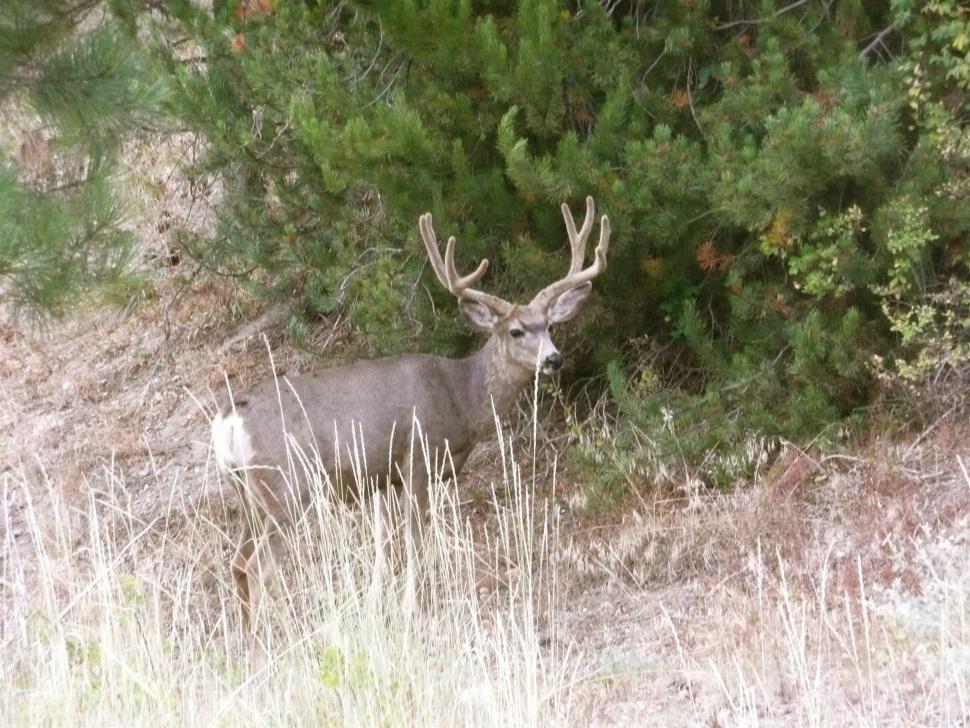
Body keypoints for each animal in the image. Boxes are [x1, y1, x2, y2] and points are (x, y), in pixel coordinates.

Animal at [211, 196, 610, 647]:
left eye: (550, 326)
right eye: (515, 331)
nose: (554, 359)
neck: (461, 396)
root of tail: (229, 418)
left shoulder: (385, 476)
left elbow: (386, 546)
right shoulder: (417, 457)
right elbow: (416, 542)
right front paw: (412, 609)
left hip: (247, 493)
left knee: (238, 563)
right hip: (285, 485)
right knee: (259, 568)